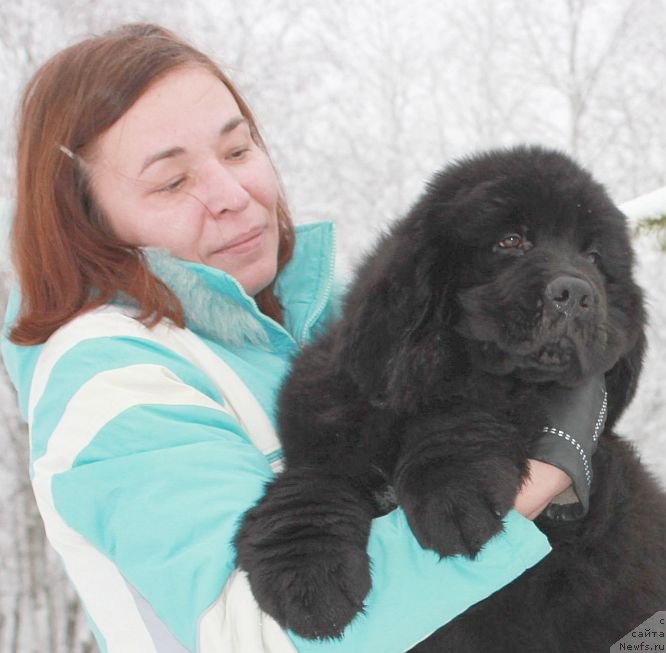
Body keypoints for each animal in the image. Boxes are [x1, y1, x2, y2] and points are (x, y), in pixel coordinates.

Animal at [235, 145, 664, 648]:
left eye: (594, 257)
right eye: (511, 240)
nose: (576, 292)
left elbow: (466, 410)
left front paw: (452, 488)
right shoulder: (332, 415)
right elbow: (314, 479)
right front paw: (304, 573)